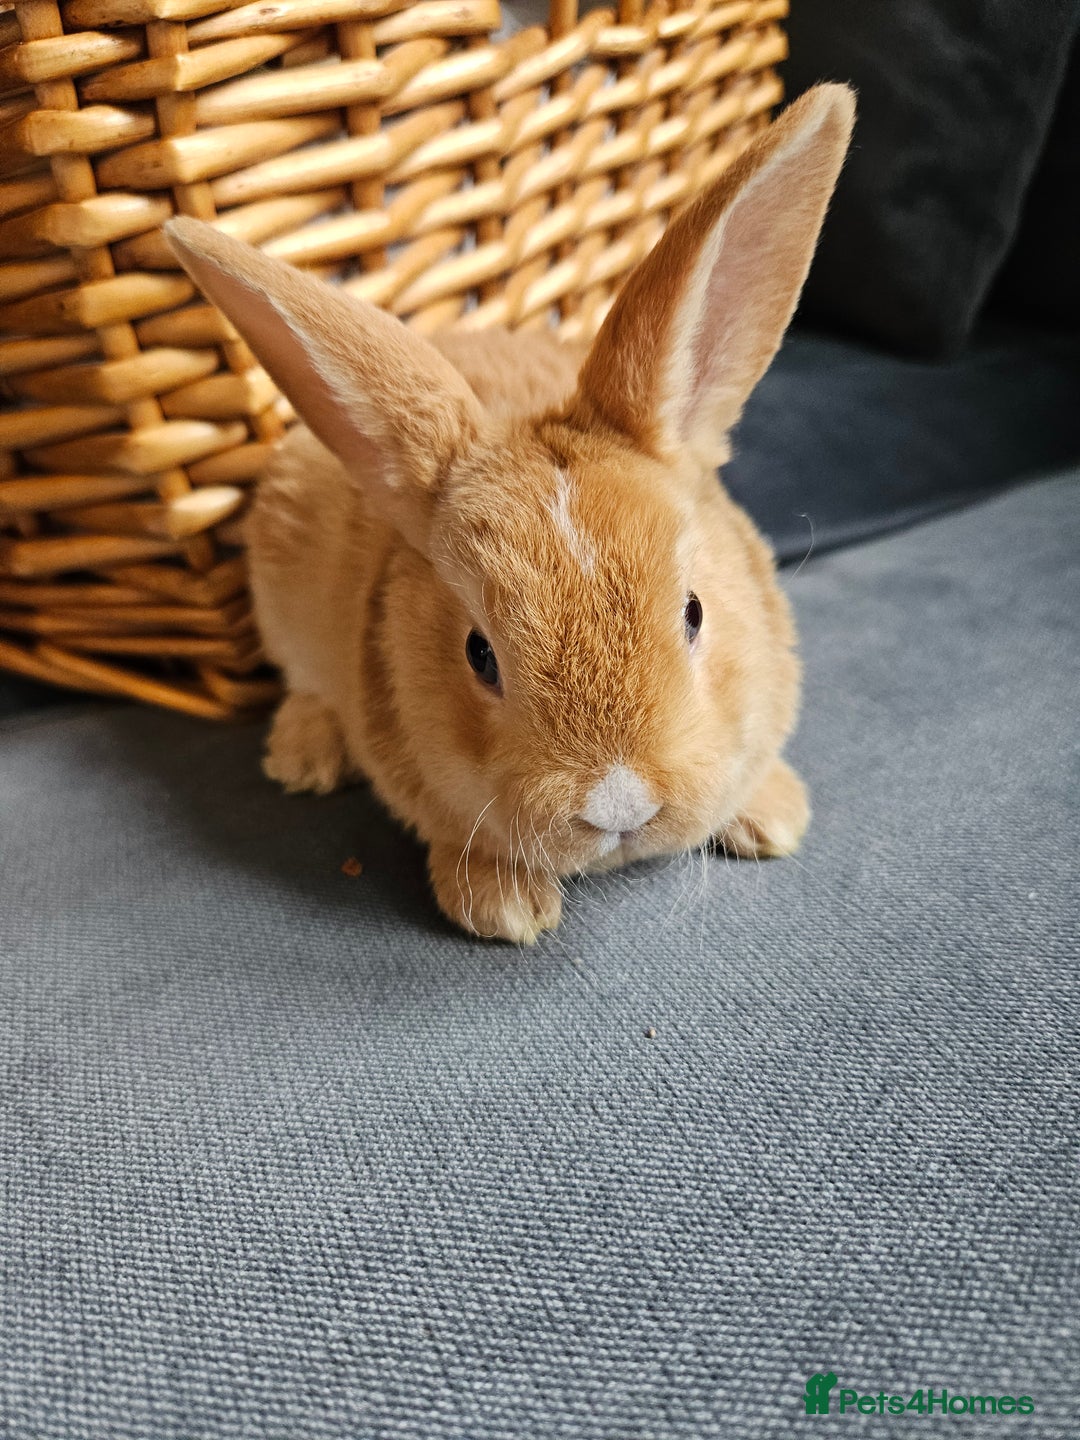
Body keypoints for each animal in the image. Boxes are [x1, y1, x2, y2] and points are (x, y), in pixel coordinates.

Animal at [164, 82, 855, 943]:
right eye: (479, 654)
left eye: (695, 613)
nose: (619, 806)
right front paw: (506, 910)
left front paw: (776, 818)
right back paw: (304, 759)